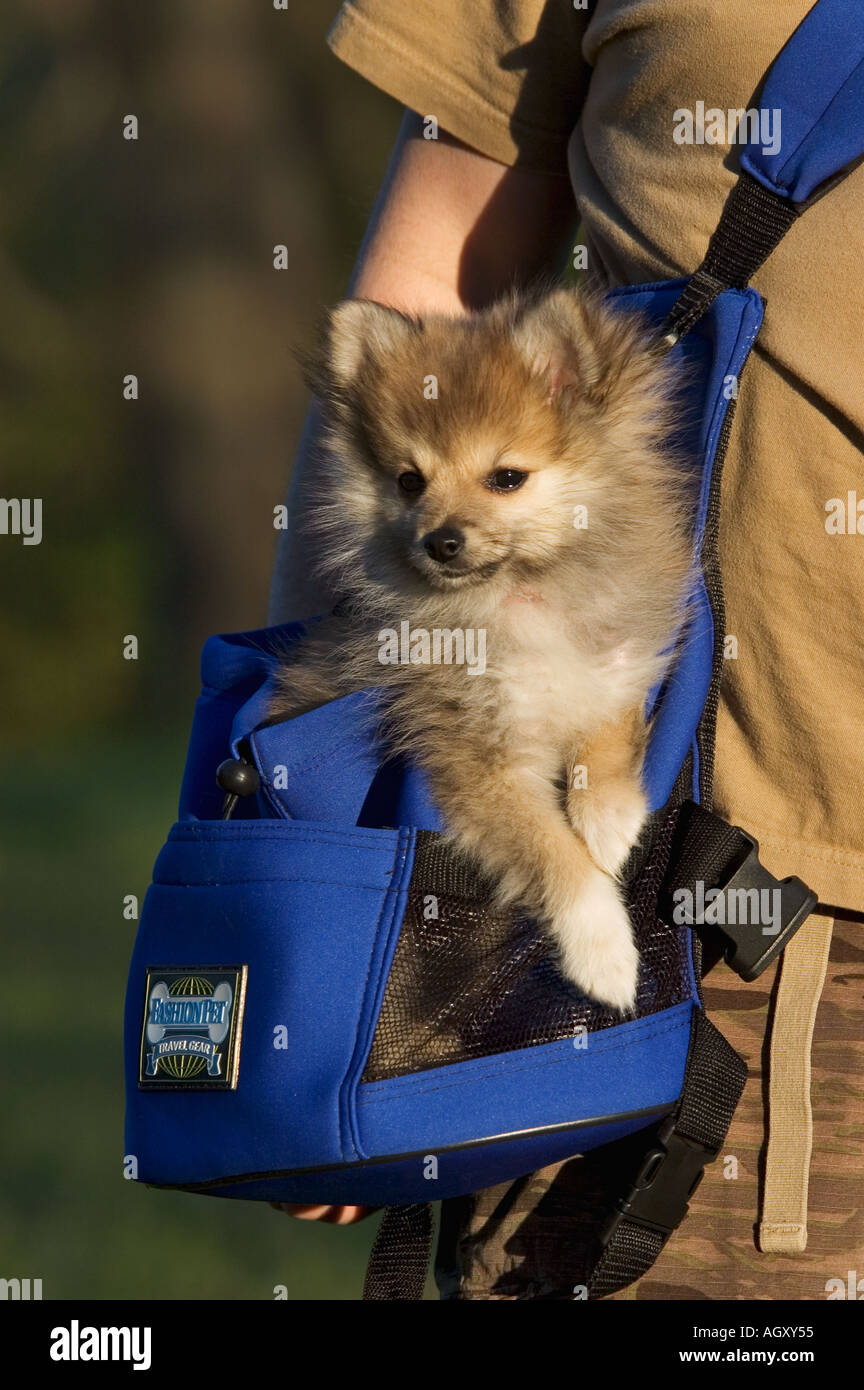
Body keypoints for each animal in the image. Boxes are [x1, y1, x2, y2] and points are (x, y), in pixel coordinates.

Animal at [270, 287, 697, 1011]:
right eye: (409, 481)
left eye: (506, 478)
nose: (440, 541)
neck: (517, 598)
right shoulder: (477, 762)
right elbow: (553, 853)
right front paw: (604, 951)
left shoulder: (611, 660)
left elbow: (606, 729)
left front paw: (609, 815)